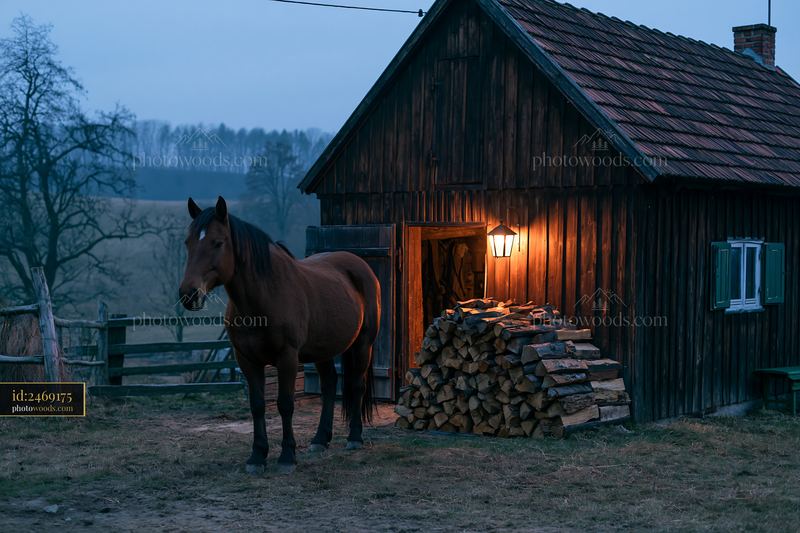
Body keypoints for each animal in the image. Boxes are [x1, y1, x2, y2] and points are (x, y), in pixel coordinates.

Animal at [178, 196, 379, 474]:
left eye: (217, 242)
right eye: (188, 242)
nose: (189, 294)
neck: (264, 296)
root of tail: (361, 266)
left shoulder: (287, 357)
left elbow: (285, 404)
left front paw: (286, 456)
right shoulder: (246, 360)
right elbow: (258, 405)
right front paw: (257, 457)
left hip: (363, 344)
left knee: (357, 386)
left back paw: (354, 438)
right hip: (322, 350)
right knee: (329, 385)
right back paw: (320, 440)